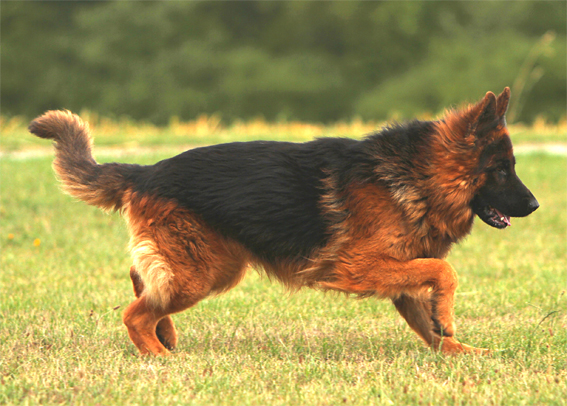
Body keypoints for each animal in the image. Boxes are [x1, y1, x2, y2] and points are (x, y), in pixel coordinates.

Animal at [29, 88, 538, 355]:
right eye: (502, 170)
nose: (535, 205)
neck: (418, 174)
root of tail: (145, 171)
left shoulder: (401, 274)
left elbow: (430, 320)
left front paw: (462, 352)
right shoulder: (358, 268)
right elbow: (444, 272)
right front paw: (451, 324)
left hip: (206, 267)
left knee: (142, 281)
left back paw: (165, 336)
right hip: (203, 273)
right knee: (134, 313)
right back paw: (158, 356)